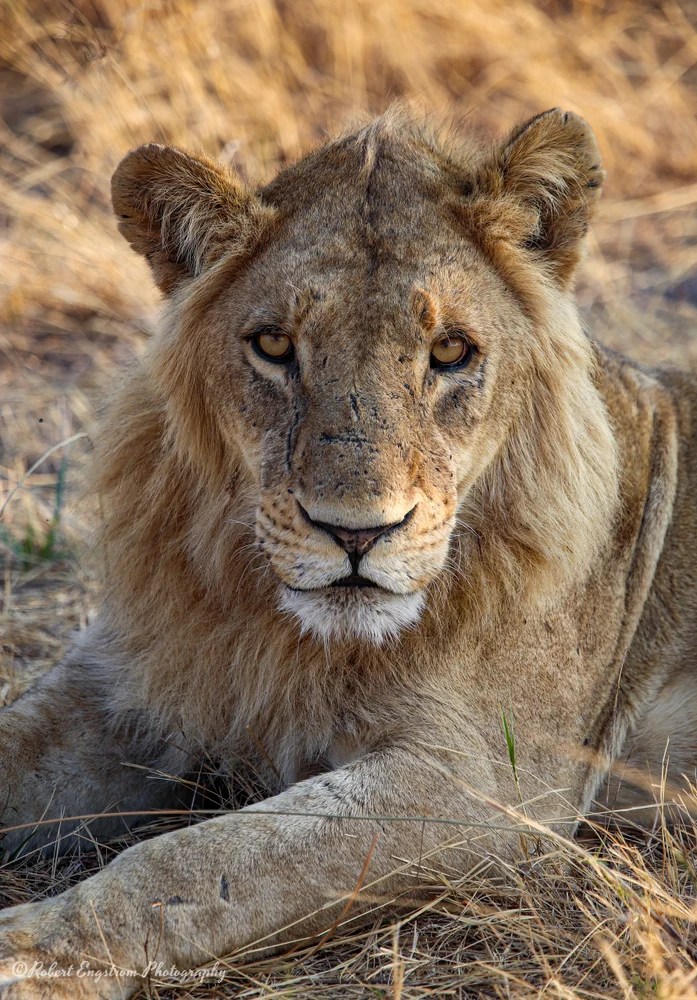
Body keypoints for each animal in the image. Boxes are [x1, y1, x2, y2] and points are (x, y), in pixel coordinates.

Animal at [0, 106, 693, 998]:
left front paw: (34, 956)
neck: (277, 627)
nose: (356, 532)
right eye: (272, 344)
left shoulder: (485, 785)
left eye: (450, 352)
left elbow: (200, 862)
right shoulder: (117, 684)